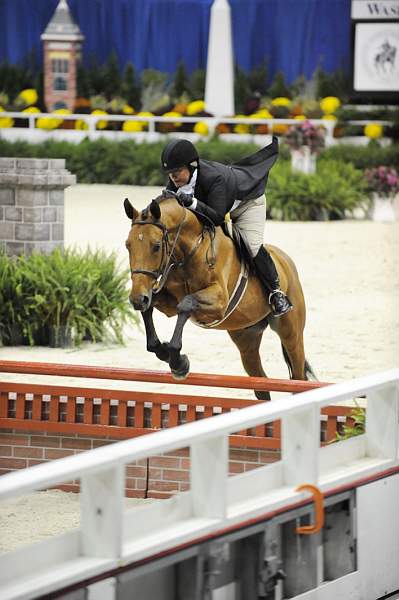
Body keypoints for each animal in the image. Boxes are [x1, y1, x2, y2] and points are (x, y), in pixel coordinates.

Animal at [125, 192, 316, 398]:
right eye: (128, 245)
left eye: (156, 246)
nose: (137, 299)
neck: (191, 250)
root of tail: (285, 260)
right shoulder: (166, 302)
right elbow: (151, 311)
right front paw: (165, 352)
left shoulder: (219, 302)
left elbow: (186, 303)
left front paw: (178, 362)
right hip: (246, 338)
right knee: (261, 382)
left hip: (291, 334)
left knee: (298, 376)